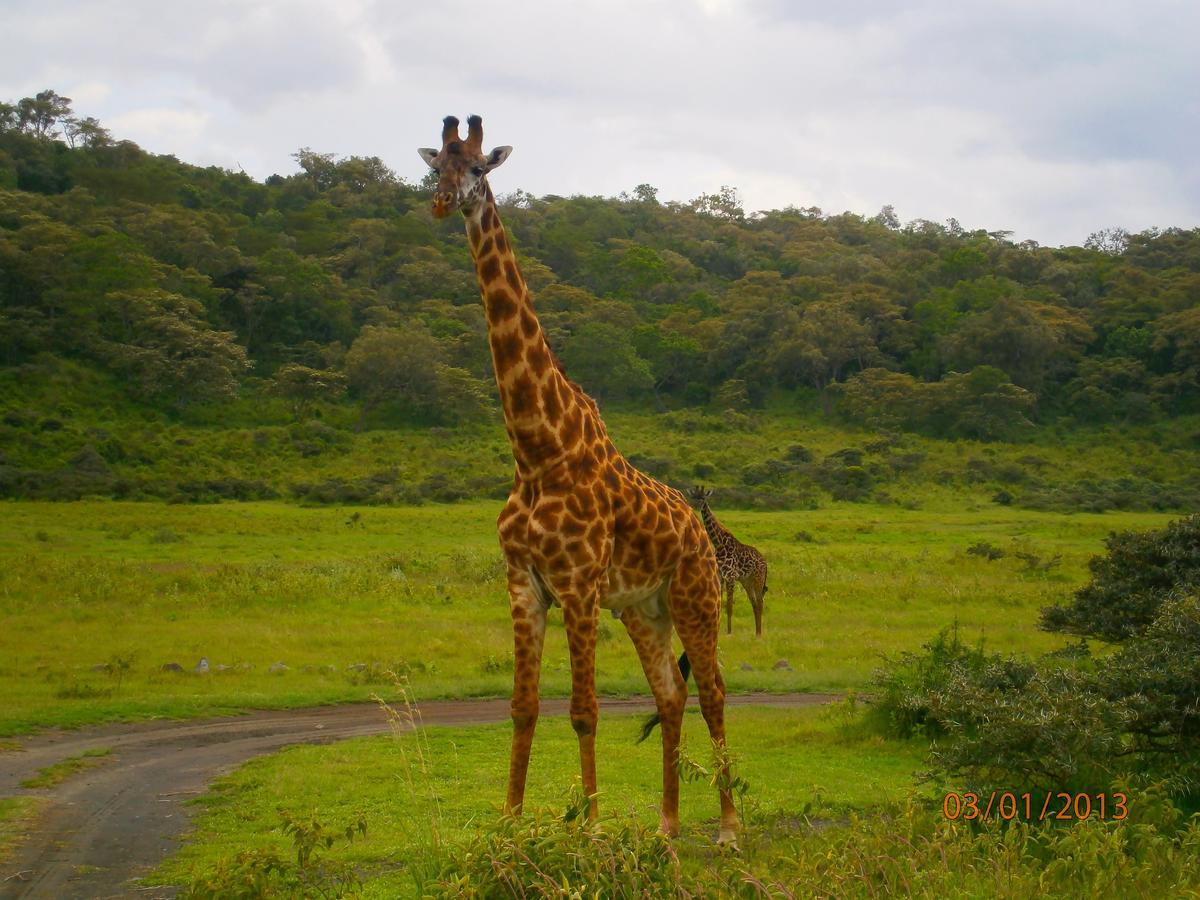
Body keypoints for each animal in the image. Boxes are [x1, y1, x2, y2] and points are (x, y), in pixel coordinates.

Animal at [422, 118, 739, 844]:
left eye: (479, 167)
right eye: (433, 168)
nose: (444, 202)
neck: (539, 451)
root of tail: (699, 532)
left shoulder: (579, 587)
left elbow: (584, 711)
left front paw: (588, 829)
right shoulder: (525, 585)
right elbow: (523, 707)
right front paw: (510, 824)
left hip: (695, 598)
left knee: (713, 692)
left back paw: (729, 827)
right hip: (645, 610)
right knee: (671, 695)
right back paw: (666, 826)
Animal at [691, 487, 763, 643]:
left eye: (703, 498)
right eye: (692, 498)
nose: (693, 508)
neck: (718, 543)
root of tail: (764, 562)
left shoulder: (731, 576)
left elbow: (729, 606)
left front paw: (729, 632)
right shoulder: (720, 576)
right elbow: (718, 604)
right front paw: (716, 632)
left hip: (757, 579)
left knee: (760, 602)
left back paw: (760, 633)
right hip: (747, 581)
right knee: (754, 603)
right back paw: (756, 632)